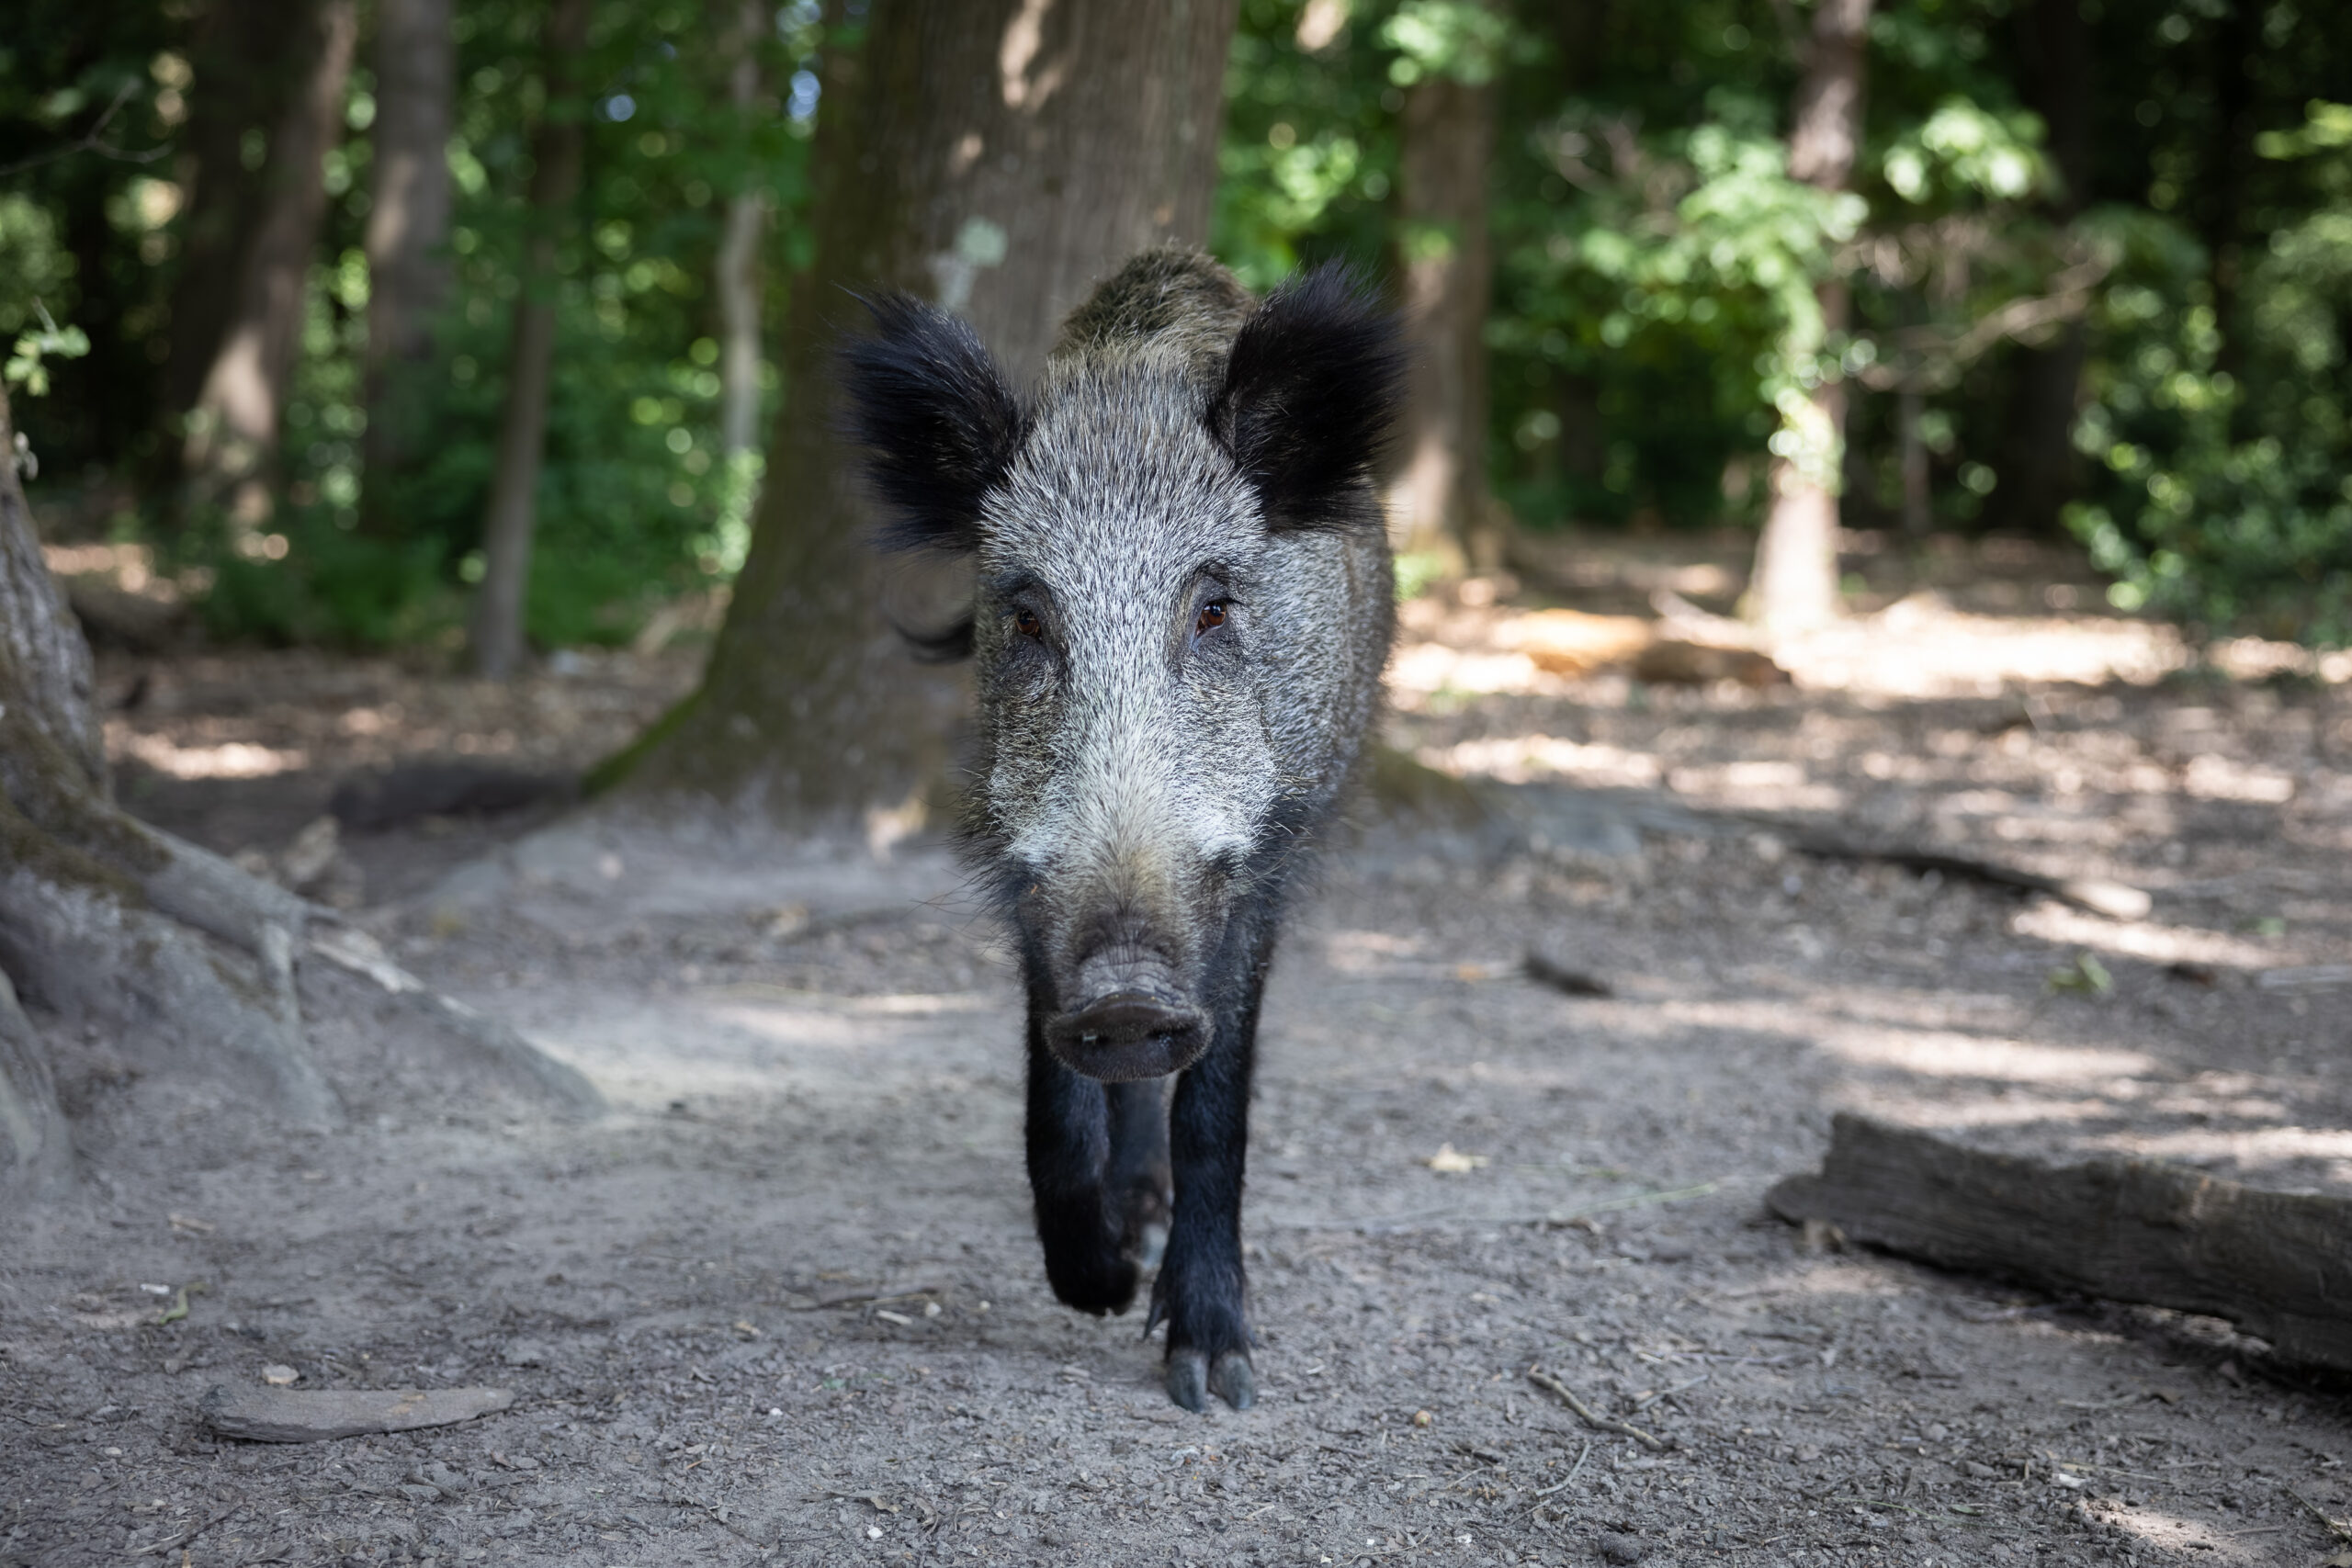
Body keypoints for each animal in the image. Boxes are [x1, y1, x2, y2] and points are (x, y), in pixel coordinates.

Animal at [839, 247, 1403, 1411]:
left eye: (1213, 608)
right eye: (1027, 616)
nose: (1127, 993)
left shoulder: (1266, 860)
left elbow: (1217, 1100)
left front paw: (1212, 1377)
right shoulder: (1027, 869)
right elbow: (1050, 1093)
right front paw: (1098, 1290)